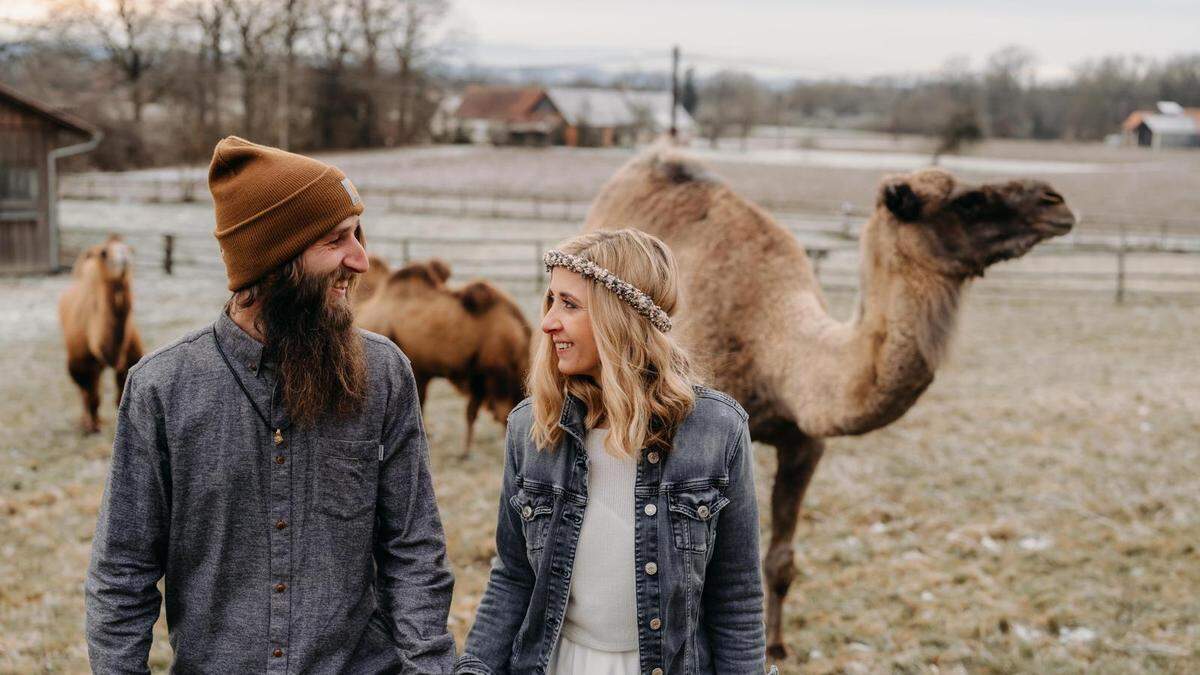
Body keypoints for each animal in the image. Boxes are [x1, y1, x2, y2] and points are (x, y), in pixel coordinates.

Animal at [58, 234, 145, 432]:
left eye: (128, 248)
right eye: (104, 253)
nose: (124, 258)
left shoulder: (128, 359)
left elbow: (119, 395)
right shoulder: (82, 363)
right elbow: (90, 395)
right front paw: (92, 426)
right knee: (86, 392)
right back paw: (87, 421)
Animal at [583, 144, 1080, 653]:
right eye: (968, 201)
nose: (1055, 201)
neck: (775, 346)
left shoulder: (805, 442)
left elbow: (780, 560)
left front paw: (777, 646)